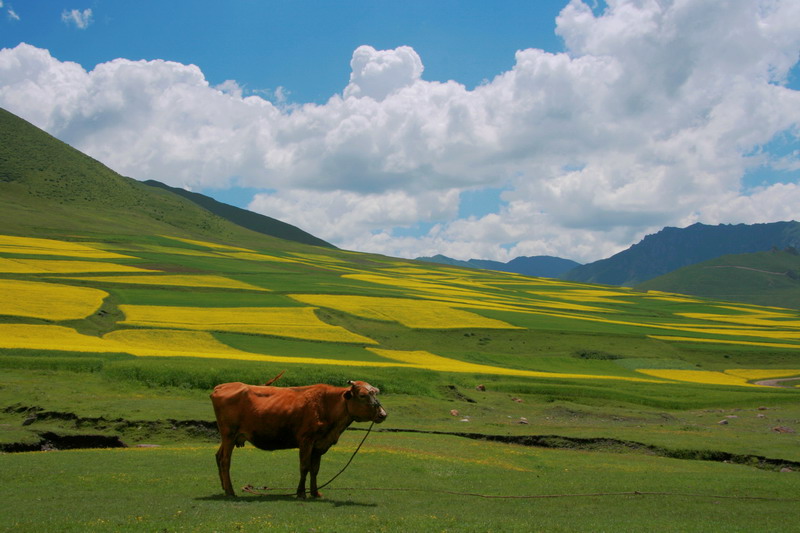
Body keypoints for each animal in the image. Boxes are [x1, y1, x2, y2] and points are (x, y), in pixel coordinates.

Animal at [211, 372, 390, 496]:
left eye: (376, 393)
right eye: (362, 395)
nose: (382, 414)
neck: (327, 405)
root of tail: (221, 386)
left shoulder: (319, 445)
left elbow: (315, 469)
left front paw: (315, 493)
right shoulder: (306, 440)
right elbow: (304, 467)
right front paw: (301, 493)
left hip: (228, 438)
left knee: (218, 456)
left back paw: (224, 488)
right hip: (229, 435)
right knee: (225, 460)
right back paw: (230, 492)